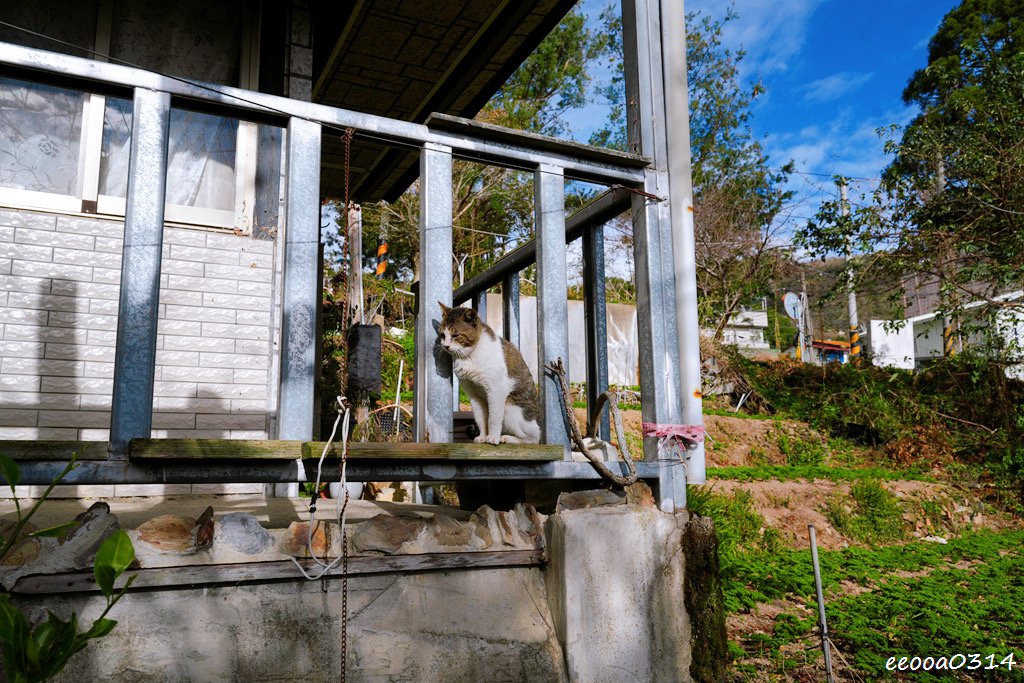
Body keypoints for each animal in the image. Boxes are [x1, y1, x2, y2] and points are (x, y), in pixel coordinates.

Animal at [436, 301, 540, 446]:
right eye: (442, 335)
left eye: (455, 335)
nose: (445, 346)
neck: (469, 357)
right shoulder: (473, 394)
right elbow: (481, 418)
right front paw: (483, 437)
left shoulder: (497, 390)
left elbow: (493, 418)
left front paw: (492, 437)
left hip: (509, 407)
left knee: (533, 439)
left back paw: (507, 438)